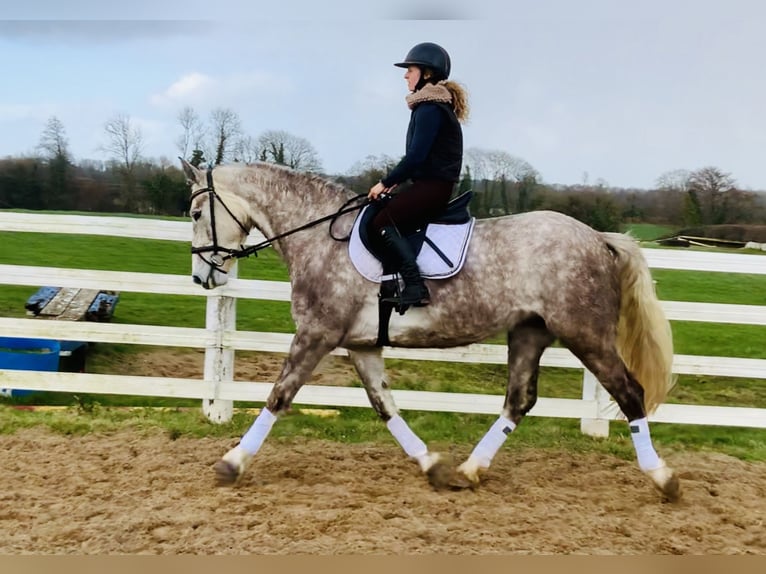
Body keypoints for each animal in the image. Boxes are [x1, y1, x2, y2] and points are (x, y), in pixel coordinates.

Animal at [182, 160, 684, 502]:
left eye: (195, 213)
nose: (202, 278)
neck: (319, 237)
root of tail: (599, 237)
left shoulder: (317, 335)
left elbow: (278, 396)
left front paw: (231, 464)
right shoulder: (361, 346)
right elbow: (385, 407)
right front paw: (432, 466)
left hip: (585, 334)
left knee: (629, 393)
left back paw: (663, 479)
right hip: (529, 332)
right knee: (519, 401)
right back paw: (469, 470)